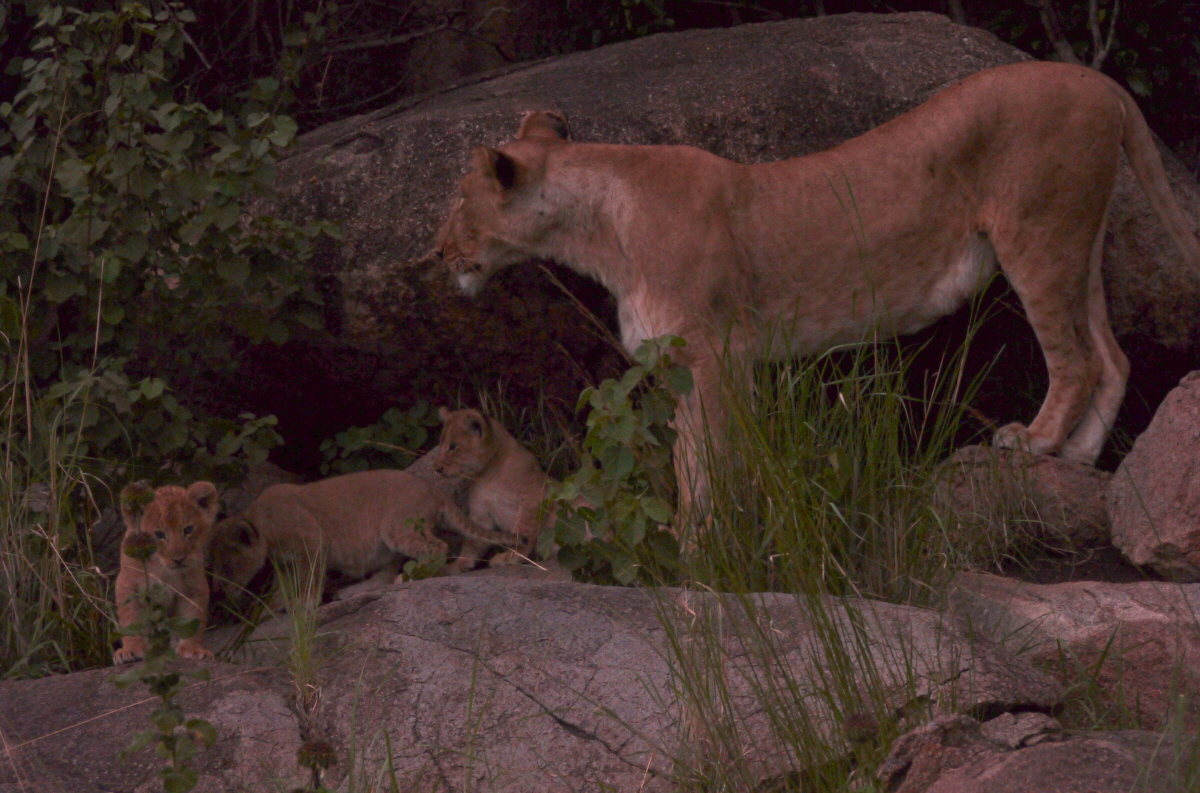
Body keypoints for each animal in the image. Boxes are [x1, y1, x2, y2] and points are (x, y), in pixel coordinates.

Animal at [429, 63, 1200, 520]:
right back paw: (1078, 458)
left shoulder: (715, 355)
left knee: (1076, 358)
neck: (598, 226)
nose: (435, 254)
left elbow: (708, 465)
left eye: (458, 202)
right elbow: (699, 460)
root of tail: (1095, 78)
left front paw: (704, 545)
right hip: (1079, 242)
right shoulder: (693, 365)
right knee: (1114, 356)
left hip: (1037, 235)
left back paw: (1035, 442)